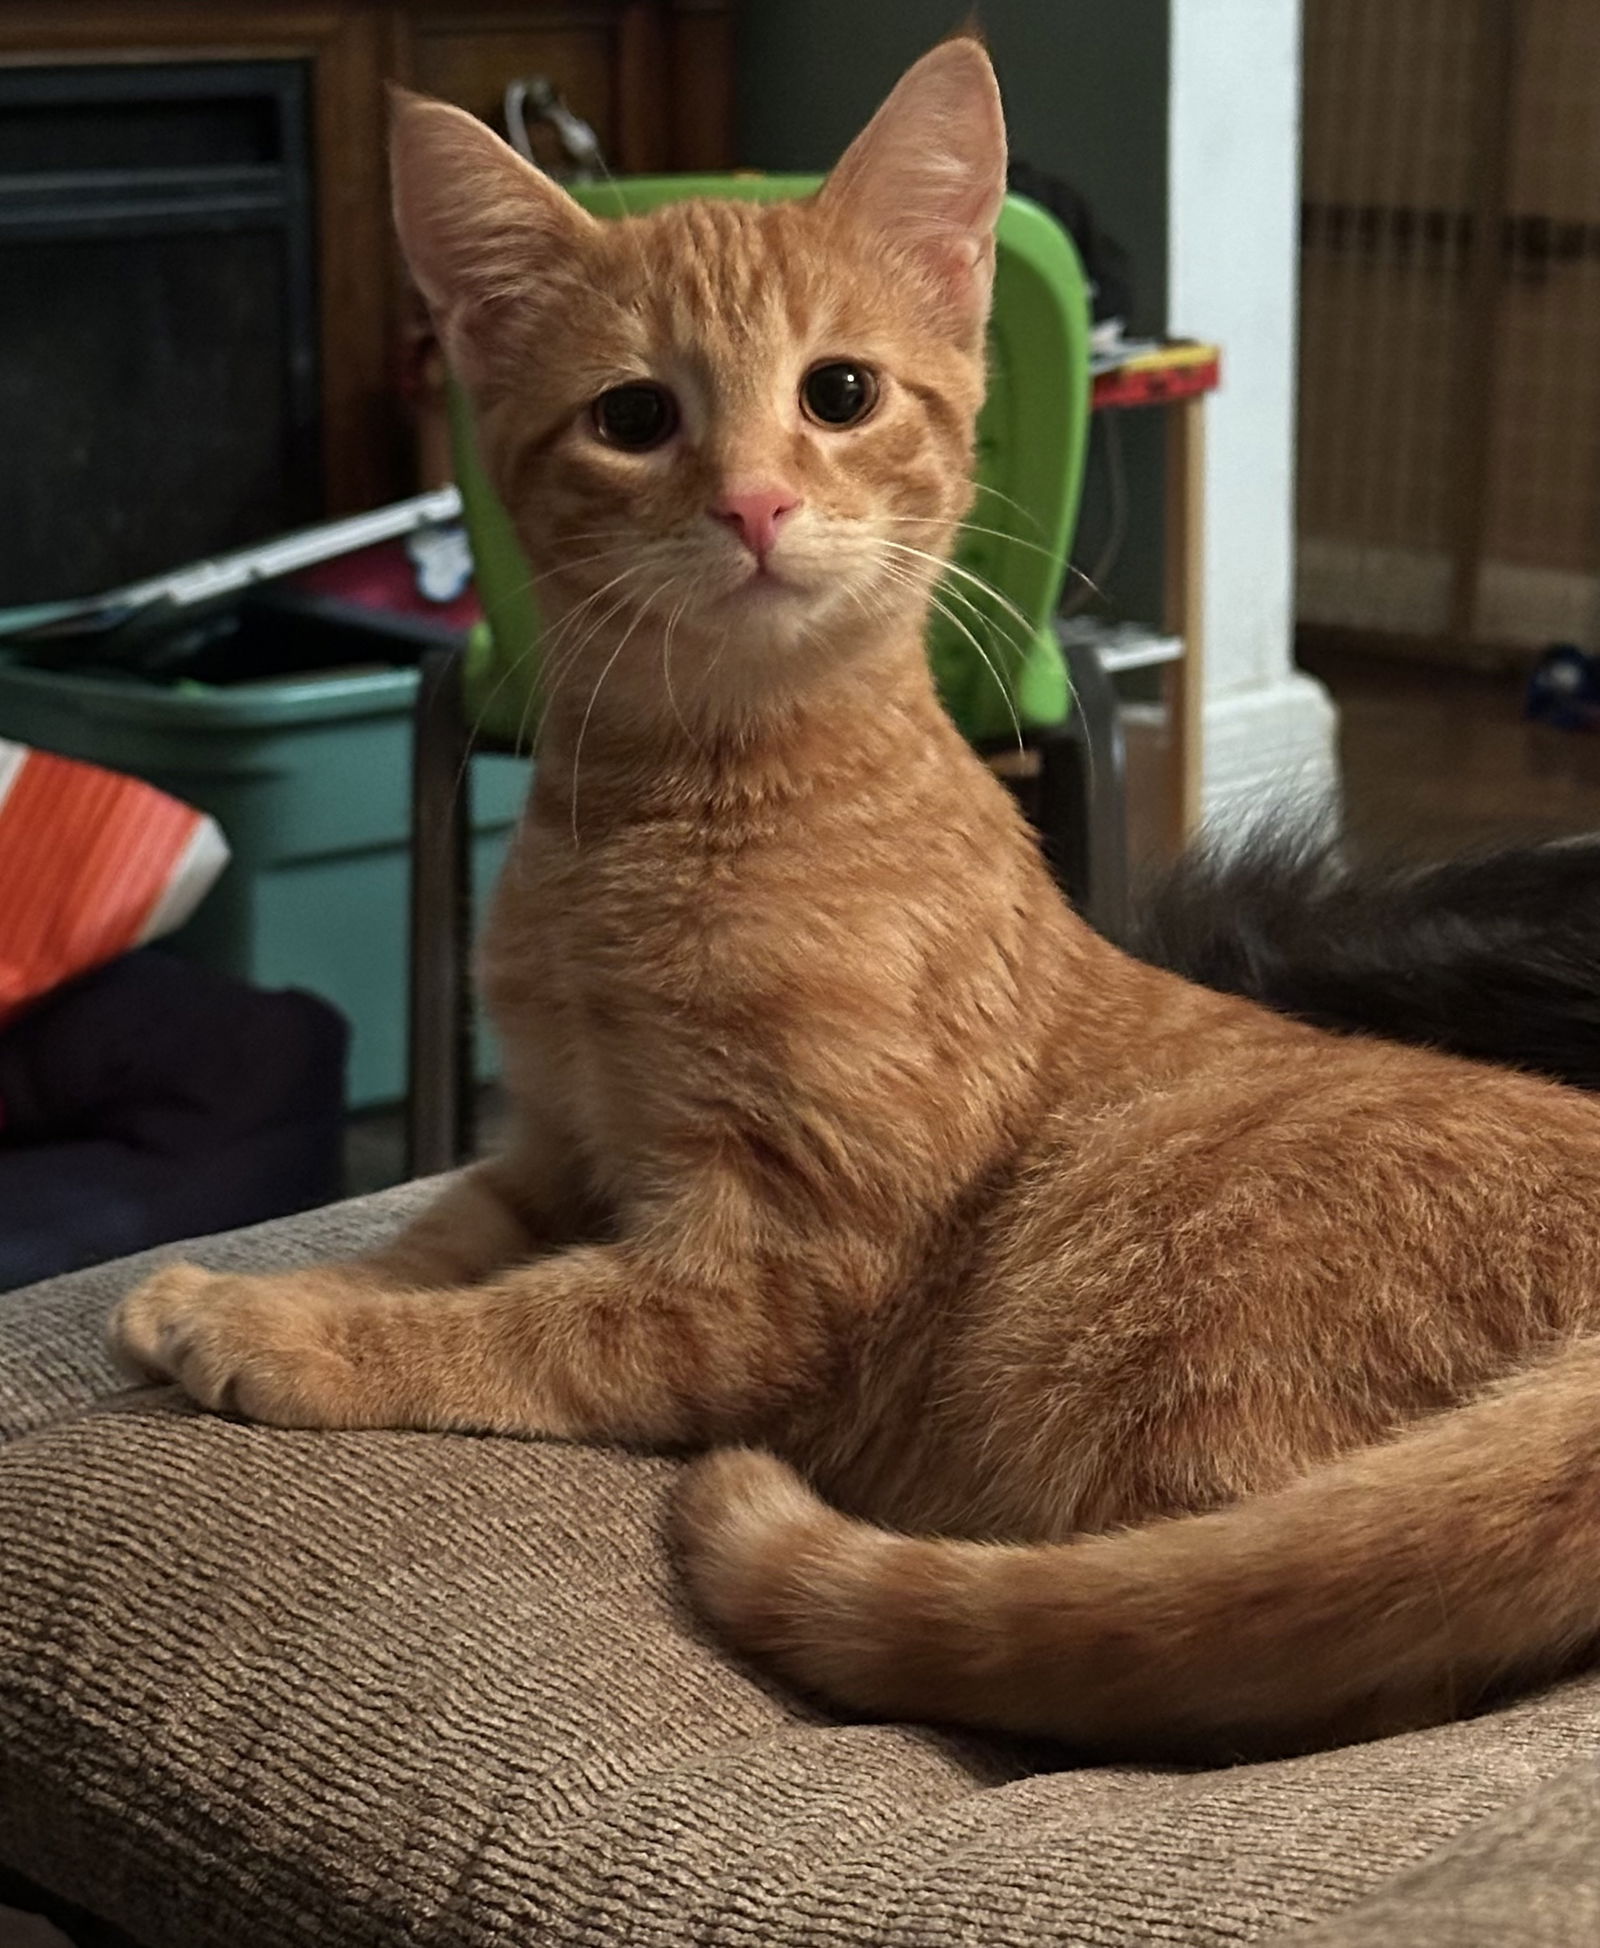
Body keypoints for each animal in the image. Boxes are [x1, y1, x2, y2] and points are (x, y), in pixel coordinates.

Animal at [115, 37, 1600, 1768]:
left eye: (838, 394)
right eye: (635, 417)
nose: (755, 506)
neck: (677, 808)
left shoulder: (770, 1263)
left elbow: (518, 1326)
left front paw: (271, 1331)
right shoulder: (558, 1146)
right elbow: (431, 1239)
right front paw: (267, 1285)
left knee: (1244, 1641)